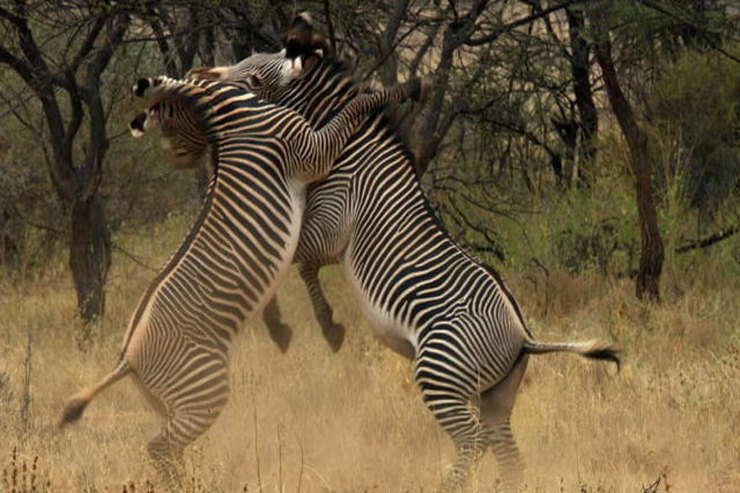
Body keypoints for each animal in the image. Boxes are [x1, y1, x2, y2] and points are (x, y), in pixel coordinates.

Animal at [57, 71, 422, 478]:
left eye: (172, 138)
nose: (187, 165)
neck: (231, 113)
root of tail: (127, 359)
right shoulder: (310, 150)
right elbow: (352, 110)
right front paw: (400, 90)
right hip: (205, 390)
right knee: (158, 447)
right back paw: (190, 483)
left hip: (168, 403)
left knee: (166, 447)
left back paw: (189, 480)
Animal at [182, 13, 620, 490]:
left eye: (255, 79)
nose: (200, 79)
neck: (343, 145)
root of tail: (524, 336)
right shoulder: (325, 230)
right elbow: (300, 265)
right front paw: (314, 324)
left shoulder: (331, 224)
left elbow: (295, 262)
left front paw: (299, 324)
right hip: (496, 393)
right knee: (506, 452)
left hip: (441, 370)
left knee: (473, 441)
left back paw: (444, 486)